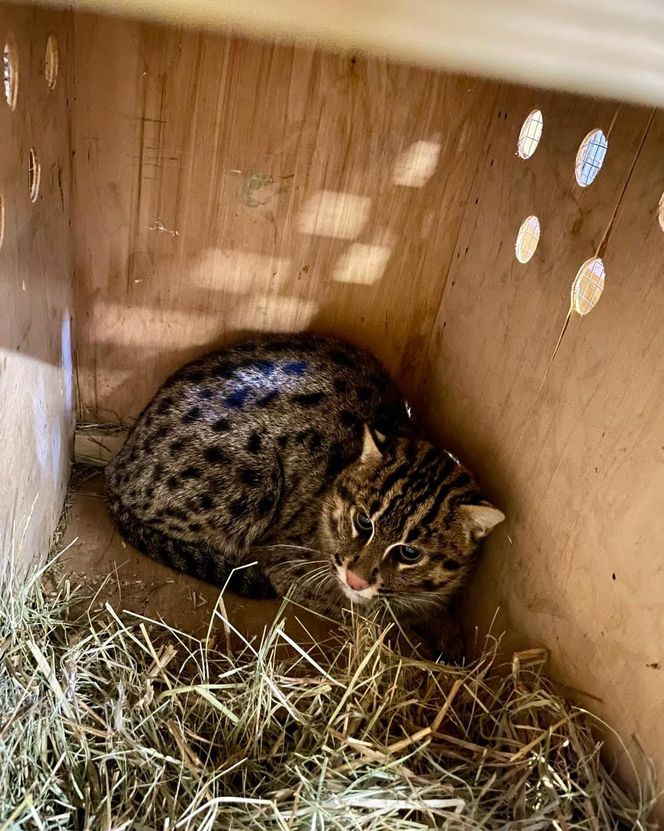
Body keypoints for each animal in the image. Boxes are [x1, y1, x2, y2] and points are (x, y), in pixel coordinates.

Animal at [105, 334, 504, 664]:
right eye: (363, 522)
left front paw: (445, 630)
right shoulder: (290, 561)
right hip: (254, 483)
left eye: (410, 553)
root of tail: (118, 462)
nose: (356, 580)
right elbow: (368, 613)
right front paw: (413, 641)